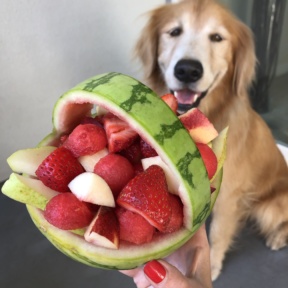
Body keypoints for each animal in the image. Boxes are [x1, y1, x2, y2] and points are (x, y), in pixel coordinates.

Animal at [135, 0, 288, 282]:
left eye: (217, 37)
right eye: (174, 32)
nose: (187, 70)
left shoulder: (229, 196)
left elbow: (218, 233)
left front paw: (213, 265)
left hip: (268, 208)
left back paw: (278, 237)